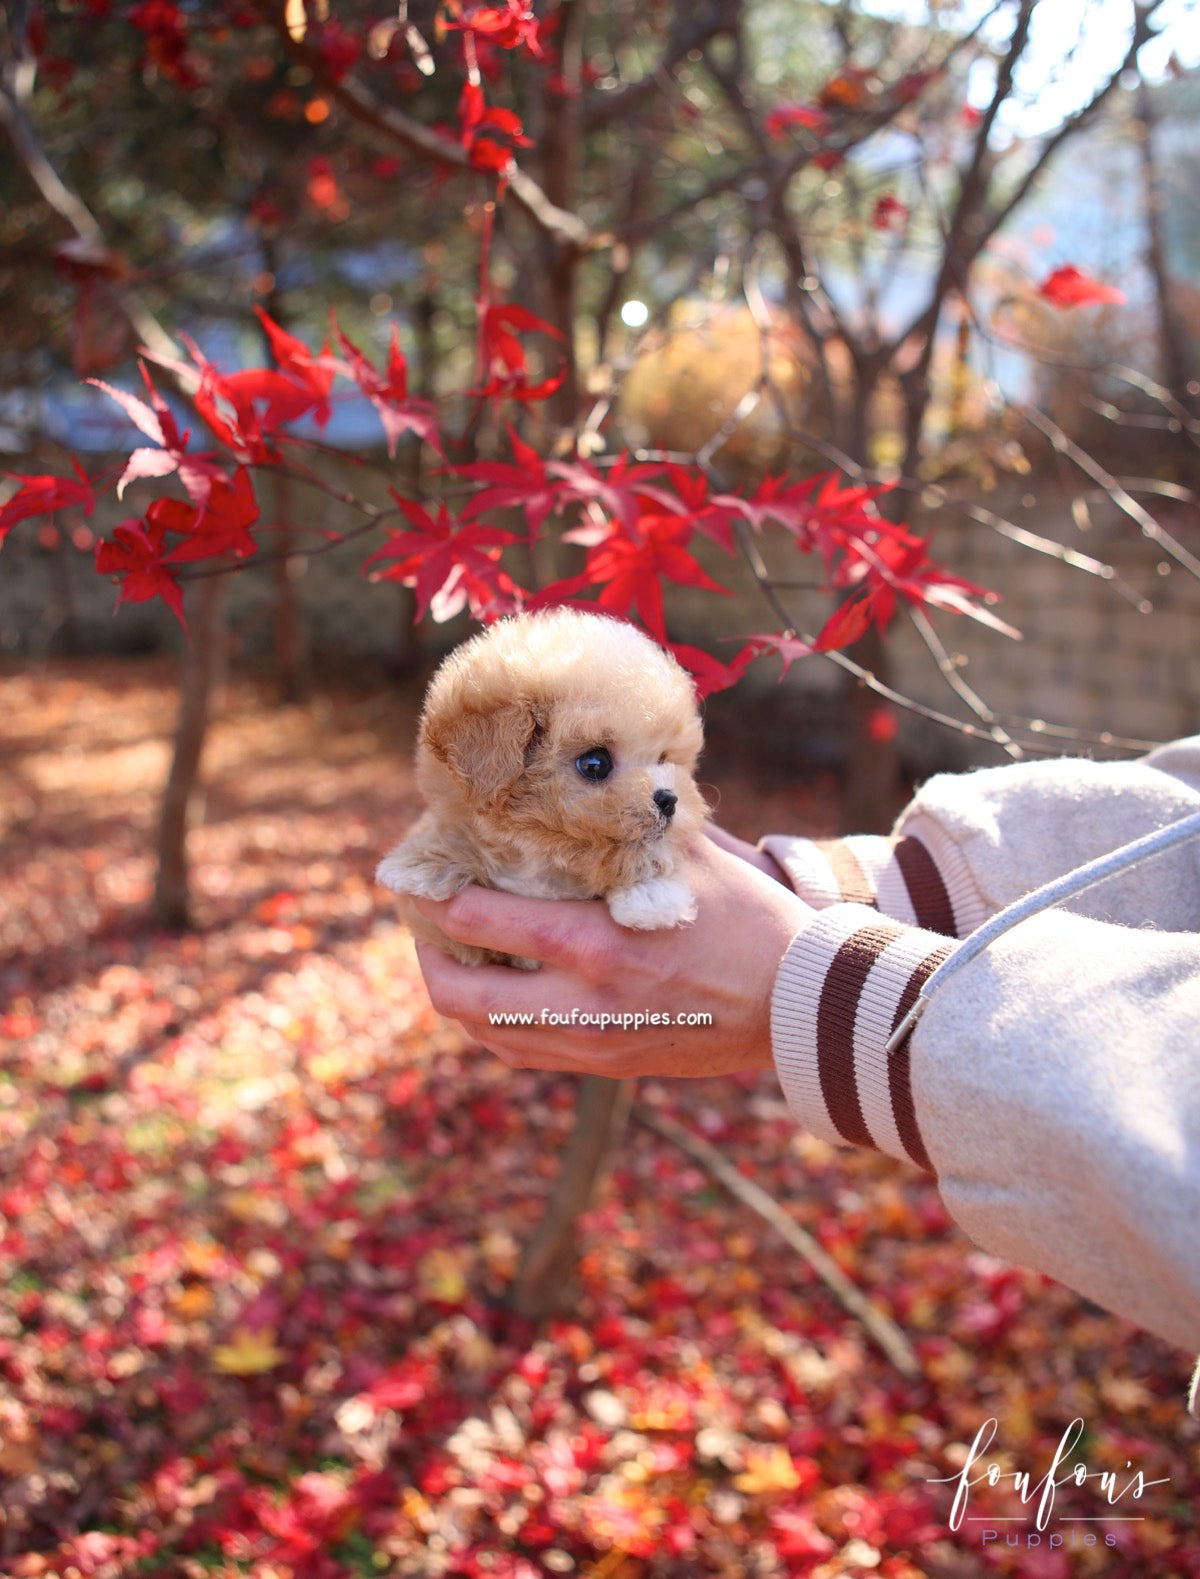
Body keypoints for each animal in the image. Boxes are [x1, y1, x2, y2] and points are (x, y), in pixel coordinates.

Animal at [378, 609, 707, 966]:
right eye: (595, 764)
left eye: (663, 758)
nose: (669, 799)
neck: (541, 857)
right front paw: (423, 864)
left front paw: (650, 895)